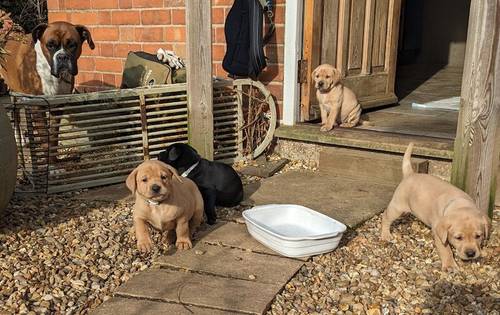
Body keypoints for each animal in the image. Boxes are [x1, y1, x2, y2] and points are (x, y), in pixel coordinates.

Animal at [380, 143, 490, 272]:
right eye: (458, 238)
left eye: (478, 236)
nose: (471, 253)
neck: (458, 203)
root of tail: (410, 174)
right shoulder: (439, 235)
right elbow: (446, 250)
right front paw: (450, 265)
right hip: (397, 206)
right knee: (386, 217)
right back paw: (385, 234)